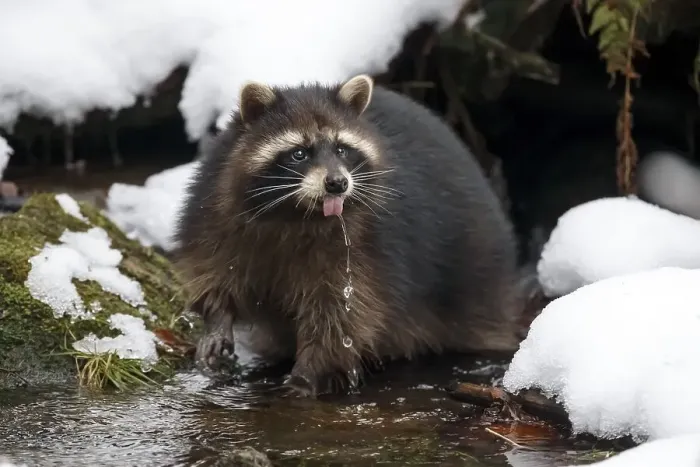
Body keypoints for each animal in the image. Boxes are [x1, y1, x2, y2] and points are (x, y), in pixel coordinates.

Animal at [173, 74, 524, 397]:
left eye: (342, 149)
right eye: (299, 153)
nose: (337, 183)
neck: (296, 213)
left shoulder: (367, 244)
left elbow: (345, 310)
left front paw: (311, 370)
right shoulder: (216, 209)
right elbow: (214, 268)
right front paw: (216, 317)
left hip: (476, 284)